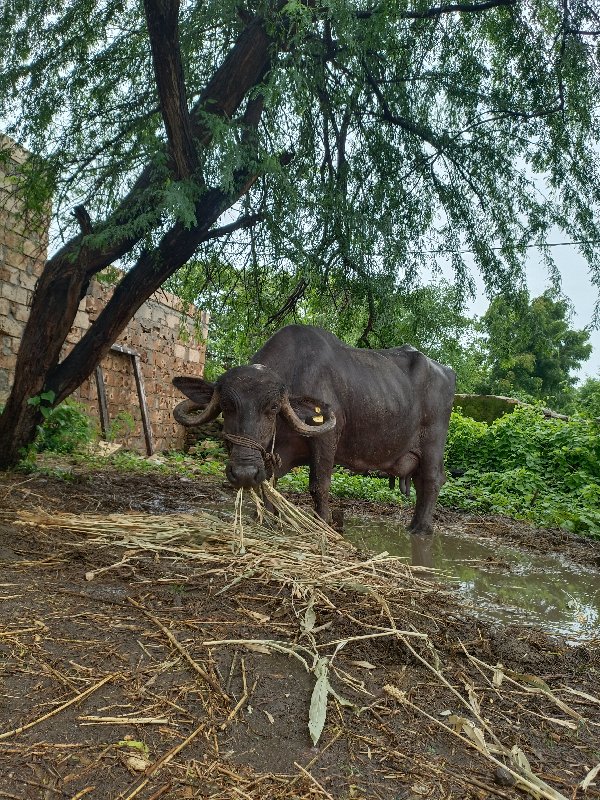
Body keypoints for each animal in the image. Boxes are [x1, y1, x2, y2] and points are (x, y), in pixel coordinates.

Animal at [172, 322, 454, 536]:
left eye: (273, 407)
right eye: (227, 406)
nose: (244, 472)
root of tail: (446, 371)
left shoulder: (326, 439)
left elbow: (319, 485)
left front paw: (323, 522)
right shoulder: (272, 453)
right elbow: (268, 484)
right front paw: (266, 518)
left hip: (433, 443)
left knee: (432, 479)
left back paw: (421, 529)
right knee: (420, 482)